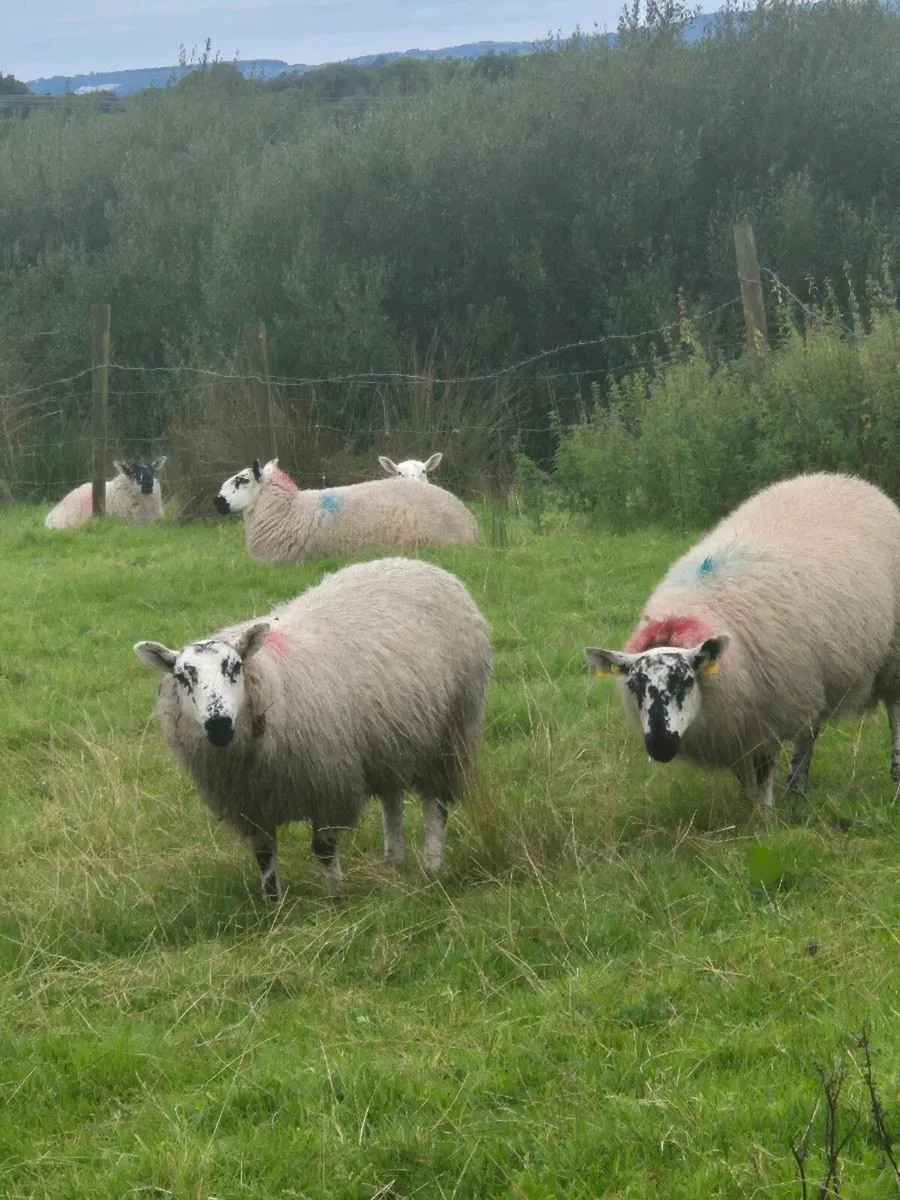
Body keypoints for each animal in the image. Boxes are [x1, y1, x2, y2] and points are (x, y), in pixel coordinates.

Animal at [134, 556, 492, 903]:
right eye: (183, 676)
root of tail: (422, 564)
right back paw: (393, 862)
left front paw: (335, 898)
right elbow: (264, 856)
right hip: (388, 737)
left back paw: (432, 865)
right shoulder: (253, 802)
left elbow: (324, 849)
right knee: (392, 799)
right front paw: (273, 907)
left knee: (436, 804)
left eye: (234, 667)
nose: (219, 726)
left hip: (450, 732)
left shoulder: (328, 782)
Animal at [585, 472, 900, 813]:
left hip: (891, 655)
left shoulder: (766, 714)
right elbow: (744, 775)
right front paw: (749, 807)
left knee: (894, 710)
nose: (660, 746)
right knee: (810, 729)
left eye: (686, 682)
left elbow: (763, 771)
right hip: (815, 673)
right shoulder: (735, 725)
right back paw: (797, 786)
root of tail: (851, 480)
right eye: (633, 686)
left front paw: (765, 816)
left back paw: (894, 775)